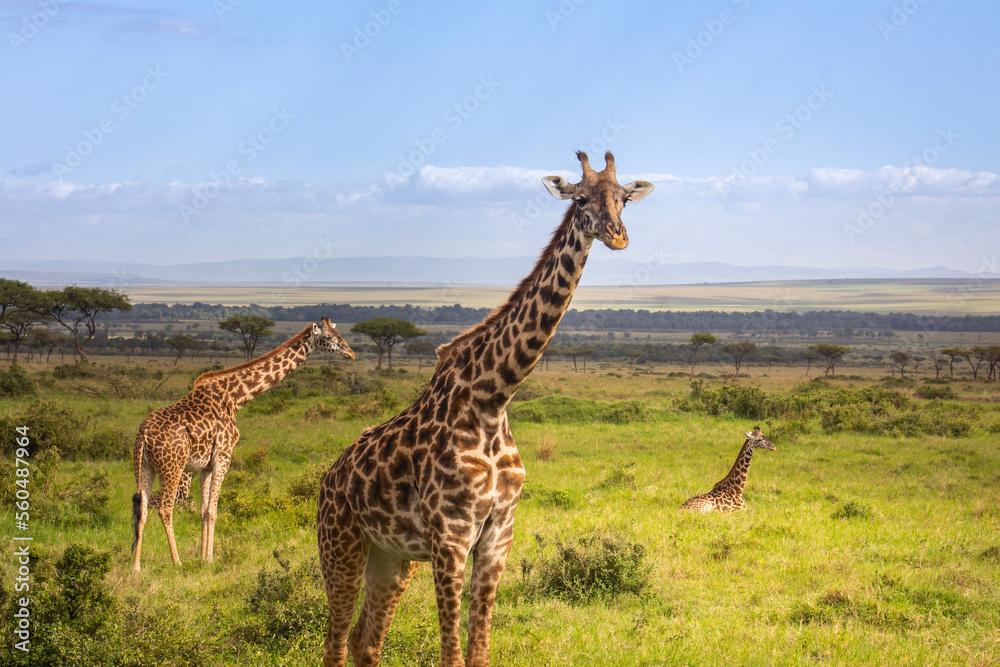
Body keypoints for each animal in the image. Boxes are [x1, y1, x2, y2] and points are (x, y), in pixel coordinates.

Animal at [131, 318, 354, 572]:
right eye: (328, 338)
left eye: (339, 334)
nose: (350, 352)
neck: (235, 398)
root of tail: (144, 435)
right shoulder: (224, 456)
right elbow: (213, 510)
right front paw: (210, 558)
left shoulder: (205, 465)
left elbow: (203, 511)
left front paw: (202, 557)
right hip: (172, 468)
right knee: (165, 509)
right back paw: (176, 562)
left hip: (144, 467)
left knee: (142, 509)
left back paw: (136, 567)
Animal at [317, 151, 654, 667]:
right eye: (580, 198)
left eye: (624, 199)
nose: (617, 235)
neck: (493, 398)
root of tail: (327, 480)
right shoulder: (451, 537)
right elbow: (453, 656)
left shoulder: (499, 533)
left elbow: (478, 652)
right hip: (341, 548)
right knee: (334, 643)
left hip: (391, 558)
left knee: (364, 642)